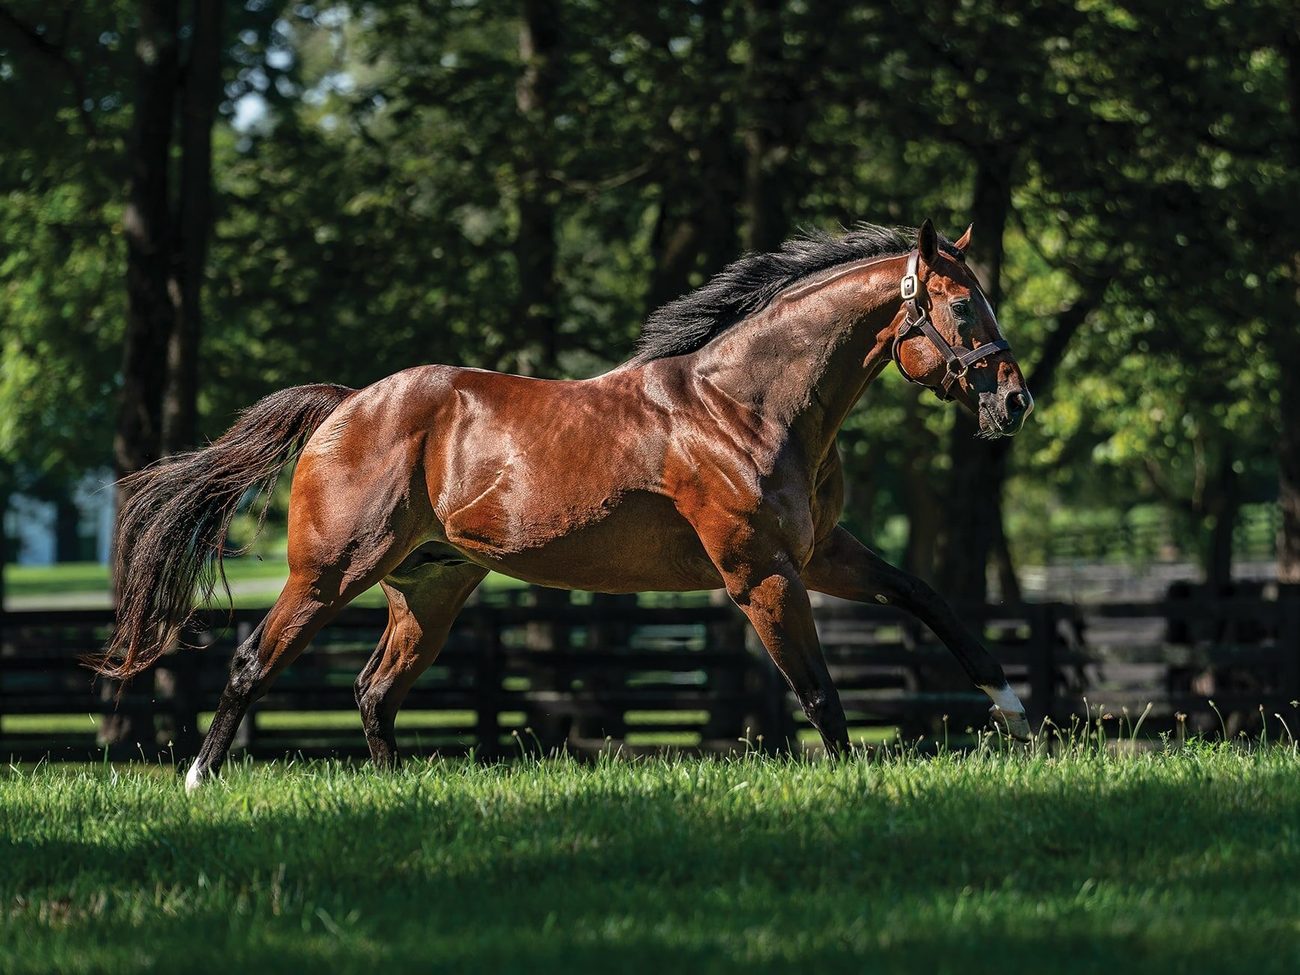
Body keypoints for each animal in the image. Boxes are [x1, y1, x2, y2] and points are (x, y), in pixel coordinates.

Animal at [95, 219, 1035, 790]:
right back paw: (198, 778)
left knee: (374, 690)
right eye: (961, 304)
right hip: (331, 573)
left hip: (431, 588)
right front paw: (850, 782)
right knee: (254, 662)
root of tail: (346, 404)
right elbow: (817, 690)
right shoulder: (761, 573)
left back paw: (392, 788)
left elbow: (931, 601)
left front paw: (1016, 713)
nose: (1016, 401)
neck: (748, 404)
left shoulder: (822, 554)